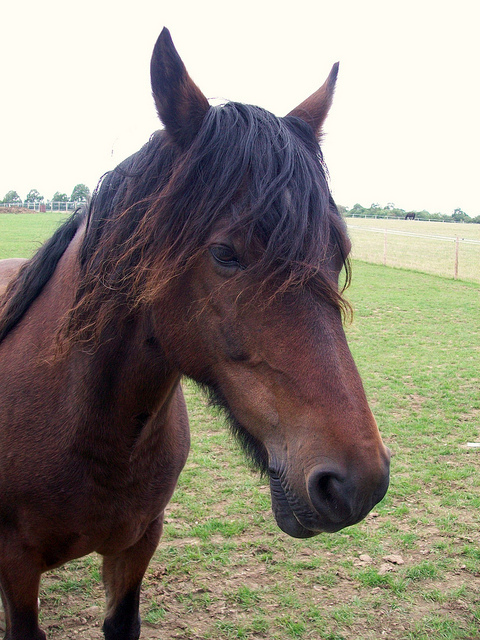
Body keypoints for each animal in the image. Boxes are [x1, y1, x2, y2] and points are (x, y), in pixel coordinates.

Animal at [0, 26, 390, 640]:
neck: (87, 430)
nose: (359, 483)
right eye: (225, 253)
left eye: (339, 250)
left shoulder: (137, 544)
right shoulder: (15, 565)